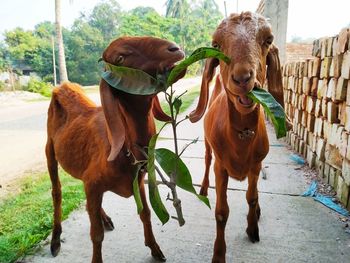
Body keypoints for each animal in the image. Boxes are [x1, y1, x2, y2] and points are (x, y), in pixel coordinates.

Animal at [45, 36, 186, 262]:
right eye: (120, 58)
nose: (175, 48)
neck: (122, 150)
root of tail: (62, 87)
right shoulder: (93, 184)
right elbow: (96, 235)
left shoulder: (137, 181)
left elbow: (145, 213)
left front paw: (155, 248)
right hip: (49, 149)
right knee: (56, 192)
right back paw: (56, 239)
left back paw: (103, 218)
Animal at [190, 11, 286, 262]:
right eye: (216, 45)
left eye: (268, 40)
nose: (242, 78)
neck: (241, 137)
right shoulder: (221, 168)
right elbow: (221, 212)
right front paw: (218, 254)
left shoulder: (256, 165)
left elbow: (251, 198)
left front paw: (253, 229)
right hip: (208, 146)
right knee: (206, 160)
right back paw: (203, 189)